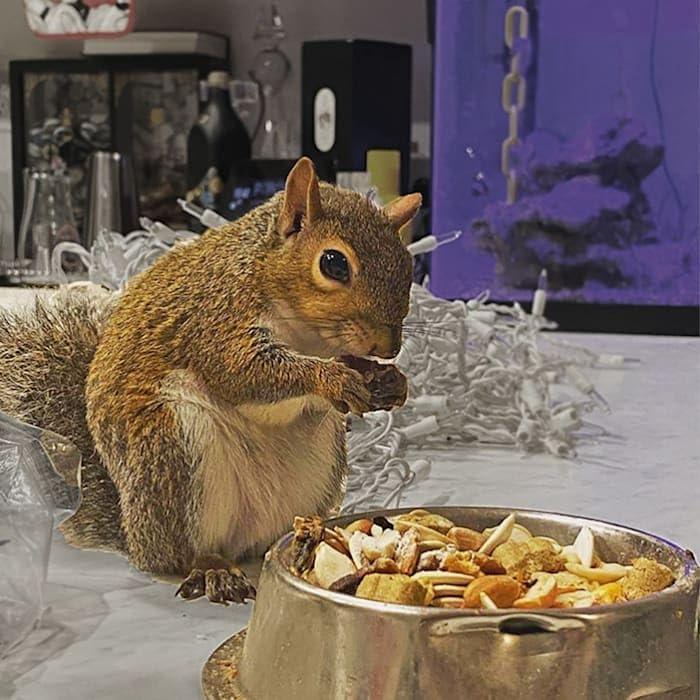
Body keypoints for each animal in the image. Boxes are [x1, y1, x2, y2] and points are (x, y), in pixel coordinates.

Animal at [0, 157, 420, 603]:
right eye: (334, 263)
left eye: (407, 265)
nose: (389, 346)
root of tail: (135, 536)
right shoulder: (216, 322)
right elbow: (246, 373)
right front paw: (333, 379)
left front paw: (390, 381)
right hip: (174, 447)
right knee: (187, 551)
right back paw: (213, 568)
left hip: (318, 464)